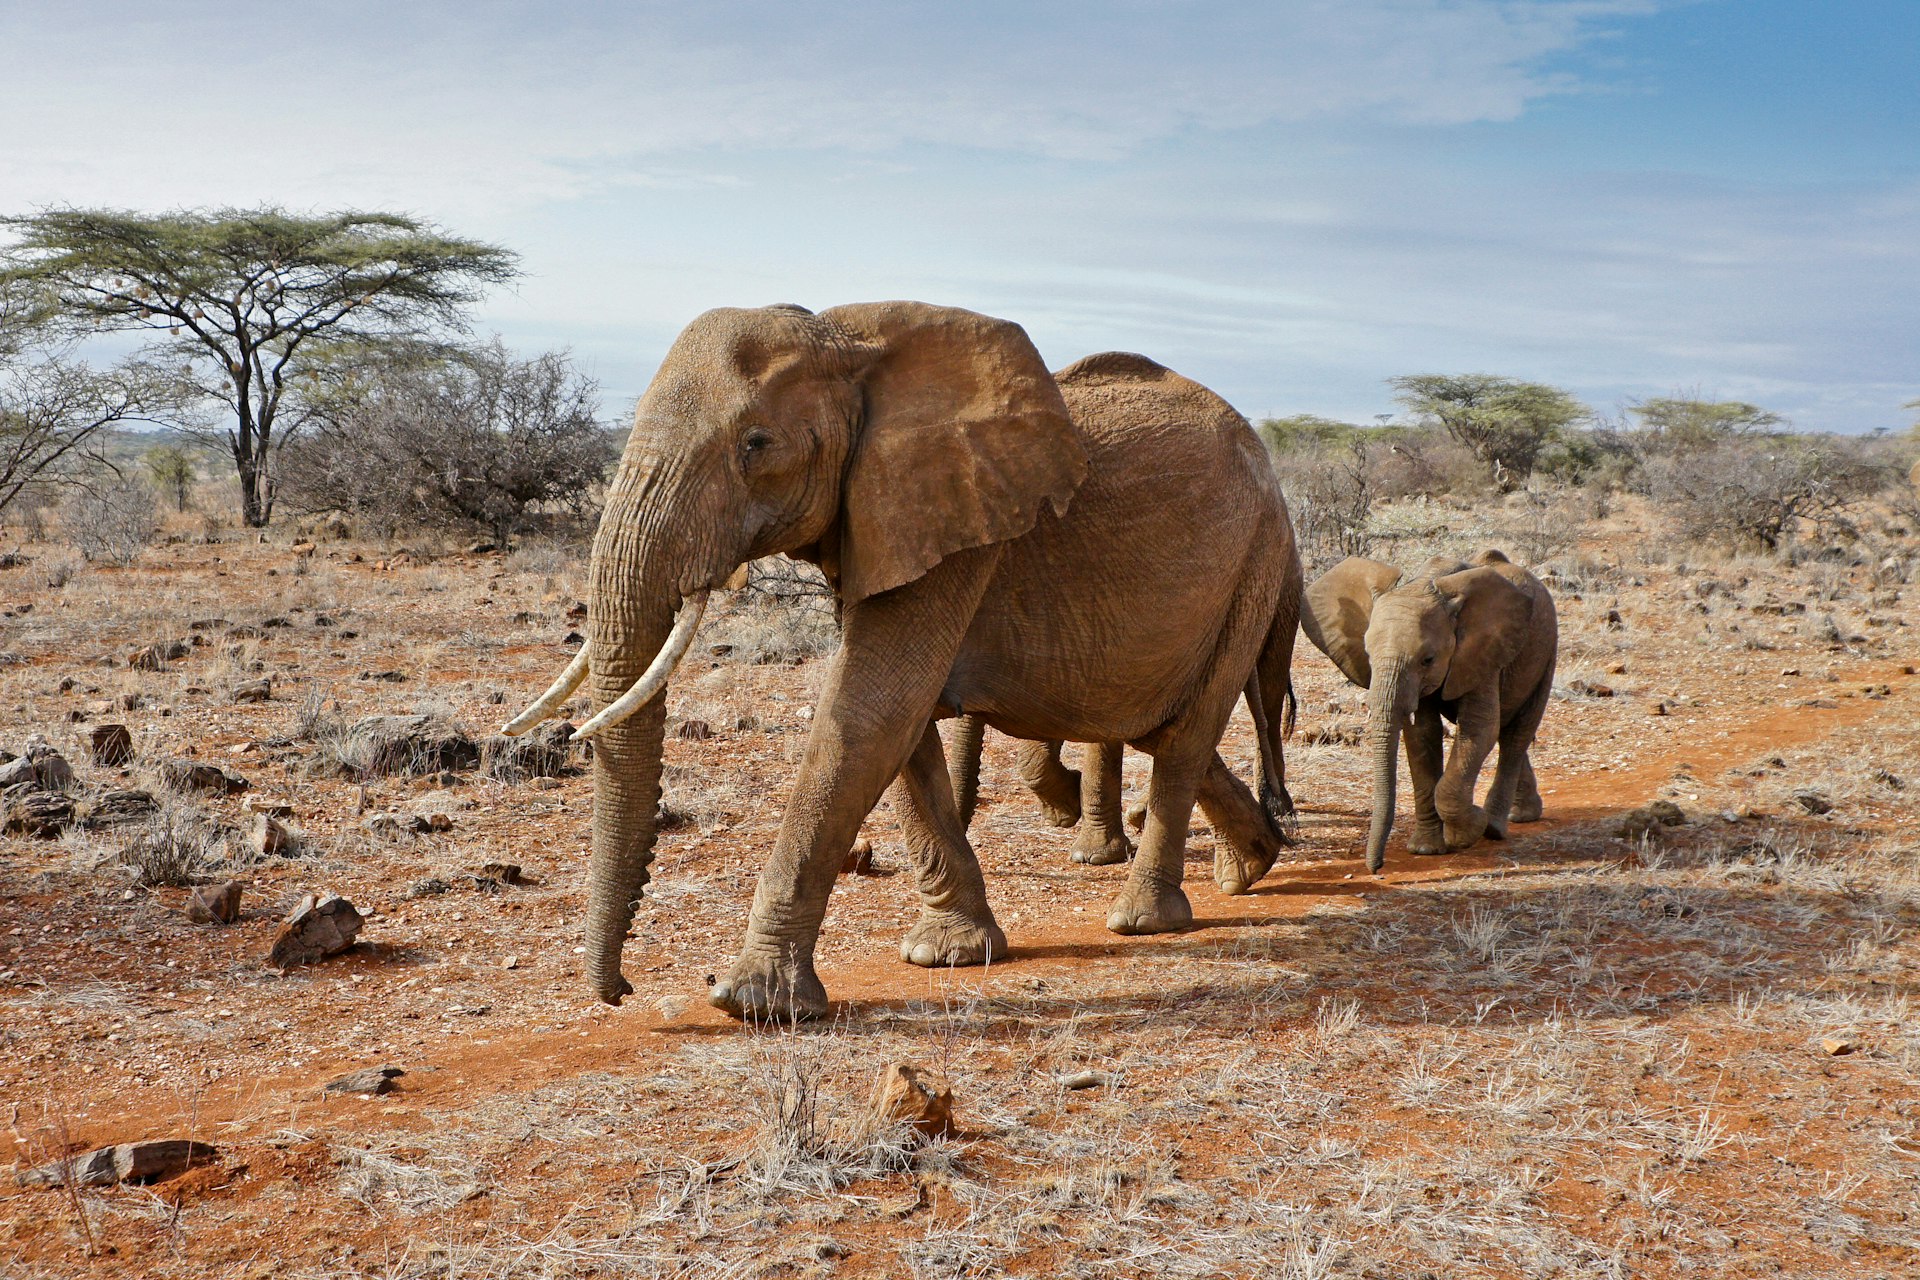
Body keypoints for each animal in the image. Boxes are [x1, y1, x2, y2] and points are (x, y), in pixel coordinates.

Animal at [503, 301, 1297, 1020]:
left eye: (756, 443)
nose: (620, 993)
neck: (844, 339)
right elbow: (901, 723)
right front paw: (949, 954)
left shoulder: (958, 525)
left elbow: (871, 711)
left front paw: (751, 1001)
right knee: (1159, 726)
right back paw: (1252, 863)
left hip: (1259, 553)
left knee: (1187, 731)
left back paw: (1145, 919)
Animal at [1297, 548, 1551, 871]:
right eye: (1368, 655)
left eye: (1427, 660)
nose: (1375, 868)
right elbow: (1422, 735)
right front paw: (1426, 849)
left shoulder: (1481, 651)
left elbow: (1480, 727)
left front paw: (1470, 829)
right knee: (1508, 730)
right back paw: (1521, 815)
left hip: (1545, 652)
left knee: (1516, 734)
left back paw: (1496, 826)